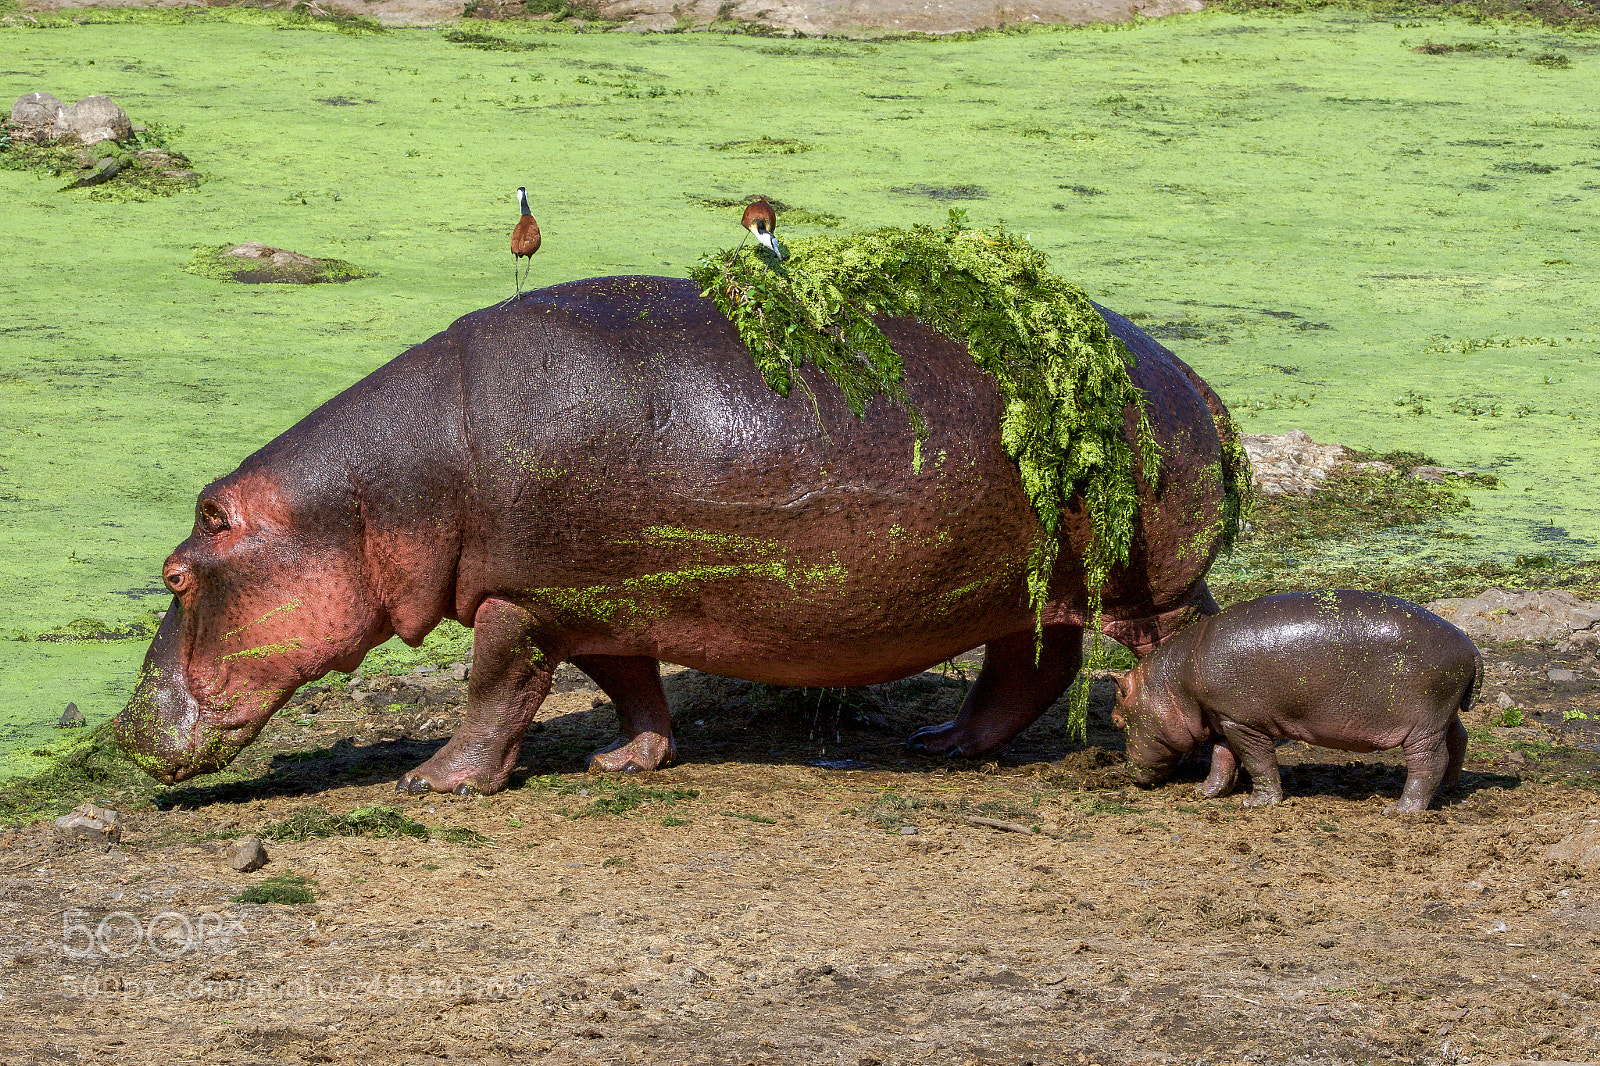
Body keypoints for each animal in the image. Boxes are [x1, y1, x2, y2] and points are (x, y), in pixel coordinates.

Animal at [115, 276, 1244, 794]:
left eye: (174, 573)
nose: (120, 733)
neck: (371, 494)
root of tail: (1183, 370)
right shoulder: (599, 599)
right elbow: (630, 686)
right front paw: (627, 761)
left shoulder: (520, 601)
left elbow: (494, 692)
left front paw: (433, 783)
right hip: (1023, 584)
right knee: (1031, 666)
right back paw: (943, 745)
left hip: (1148, 581)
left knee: (1174, 639)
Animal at [1112, 589, 1481, 814]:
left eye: (1117, 721)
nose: (1127, 773)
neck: (1175, 681)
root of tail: (1471, 647)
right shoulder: (1224, 719)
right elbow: (1222, 760)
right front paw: (1204, 793)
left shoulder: (1243, 723)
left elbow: (1259, 762)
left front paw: (1256, 803)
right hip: (1444, 715)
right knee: (1458, 739)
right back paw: (1448, 790)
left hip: (1423, 725)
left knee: (1428, 762)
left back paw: (1399, 810)